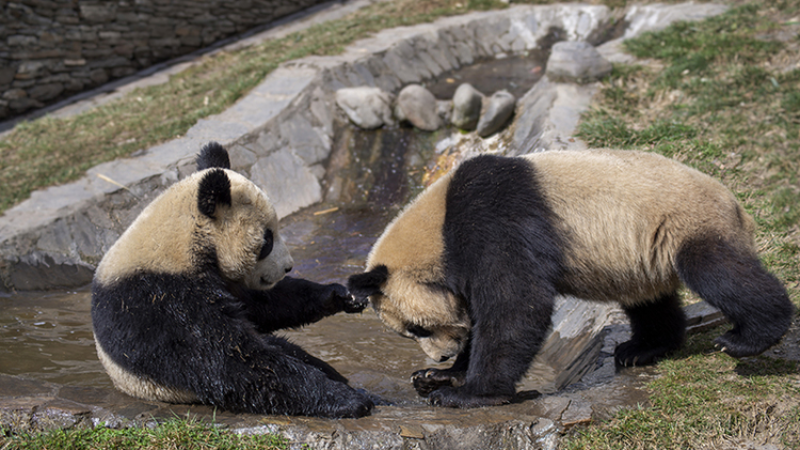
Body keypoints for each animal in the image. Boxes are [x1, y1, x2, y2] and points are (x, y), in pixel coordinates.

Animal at [91, 142, 376, 418]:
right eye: (267, 240)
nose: (288, 266)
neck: (178, 241)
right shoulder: (160, 300)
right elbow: (229, 360)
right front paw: (348, 400)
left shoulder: (222, 279)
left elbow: (263, 305)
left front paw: (340, 296)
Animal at [348, 150, 792, 408]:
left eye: (417, 328)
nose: (438, 356)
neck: (436, 229)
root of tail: (737, 205)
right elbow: (481, 314)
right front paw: (438, 377)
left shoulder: (494, 221)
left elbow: (516, 304)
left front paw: (467, 393)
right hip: (643, 255)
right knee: (650, 302)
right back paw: (643, 349)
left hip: (685, 221)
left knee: (721, 272)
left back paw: (748, 338)